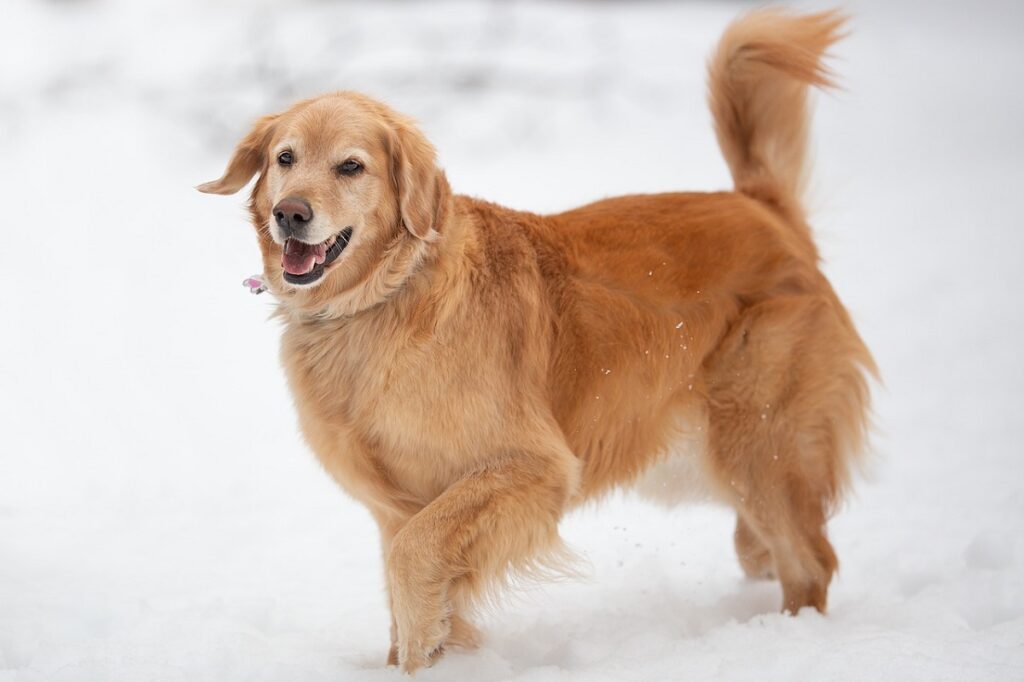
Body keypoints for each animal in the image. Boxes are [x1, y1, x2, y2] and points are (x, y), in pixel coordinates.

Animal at [199, 9, 872, 667]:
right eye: (285, 158)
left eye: (351, 166)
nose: (290, 213)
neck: (380, 301)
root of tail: (763, 207)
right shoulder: (396, 503)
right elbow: (407, 585)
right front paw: (424, 652)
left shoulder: (531, 466)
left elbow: (414, 558)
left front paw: (418, 657)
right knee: (765, 546)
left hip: (758, 441)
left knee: (811, 561)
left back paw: (788, 636)